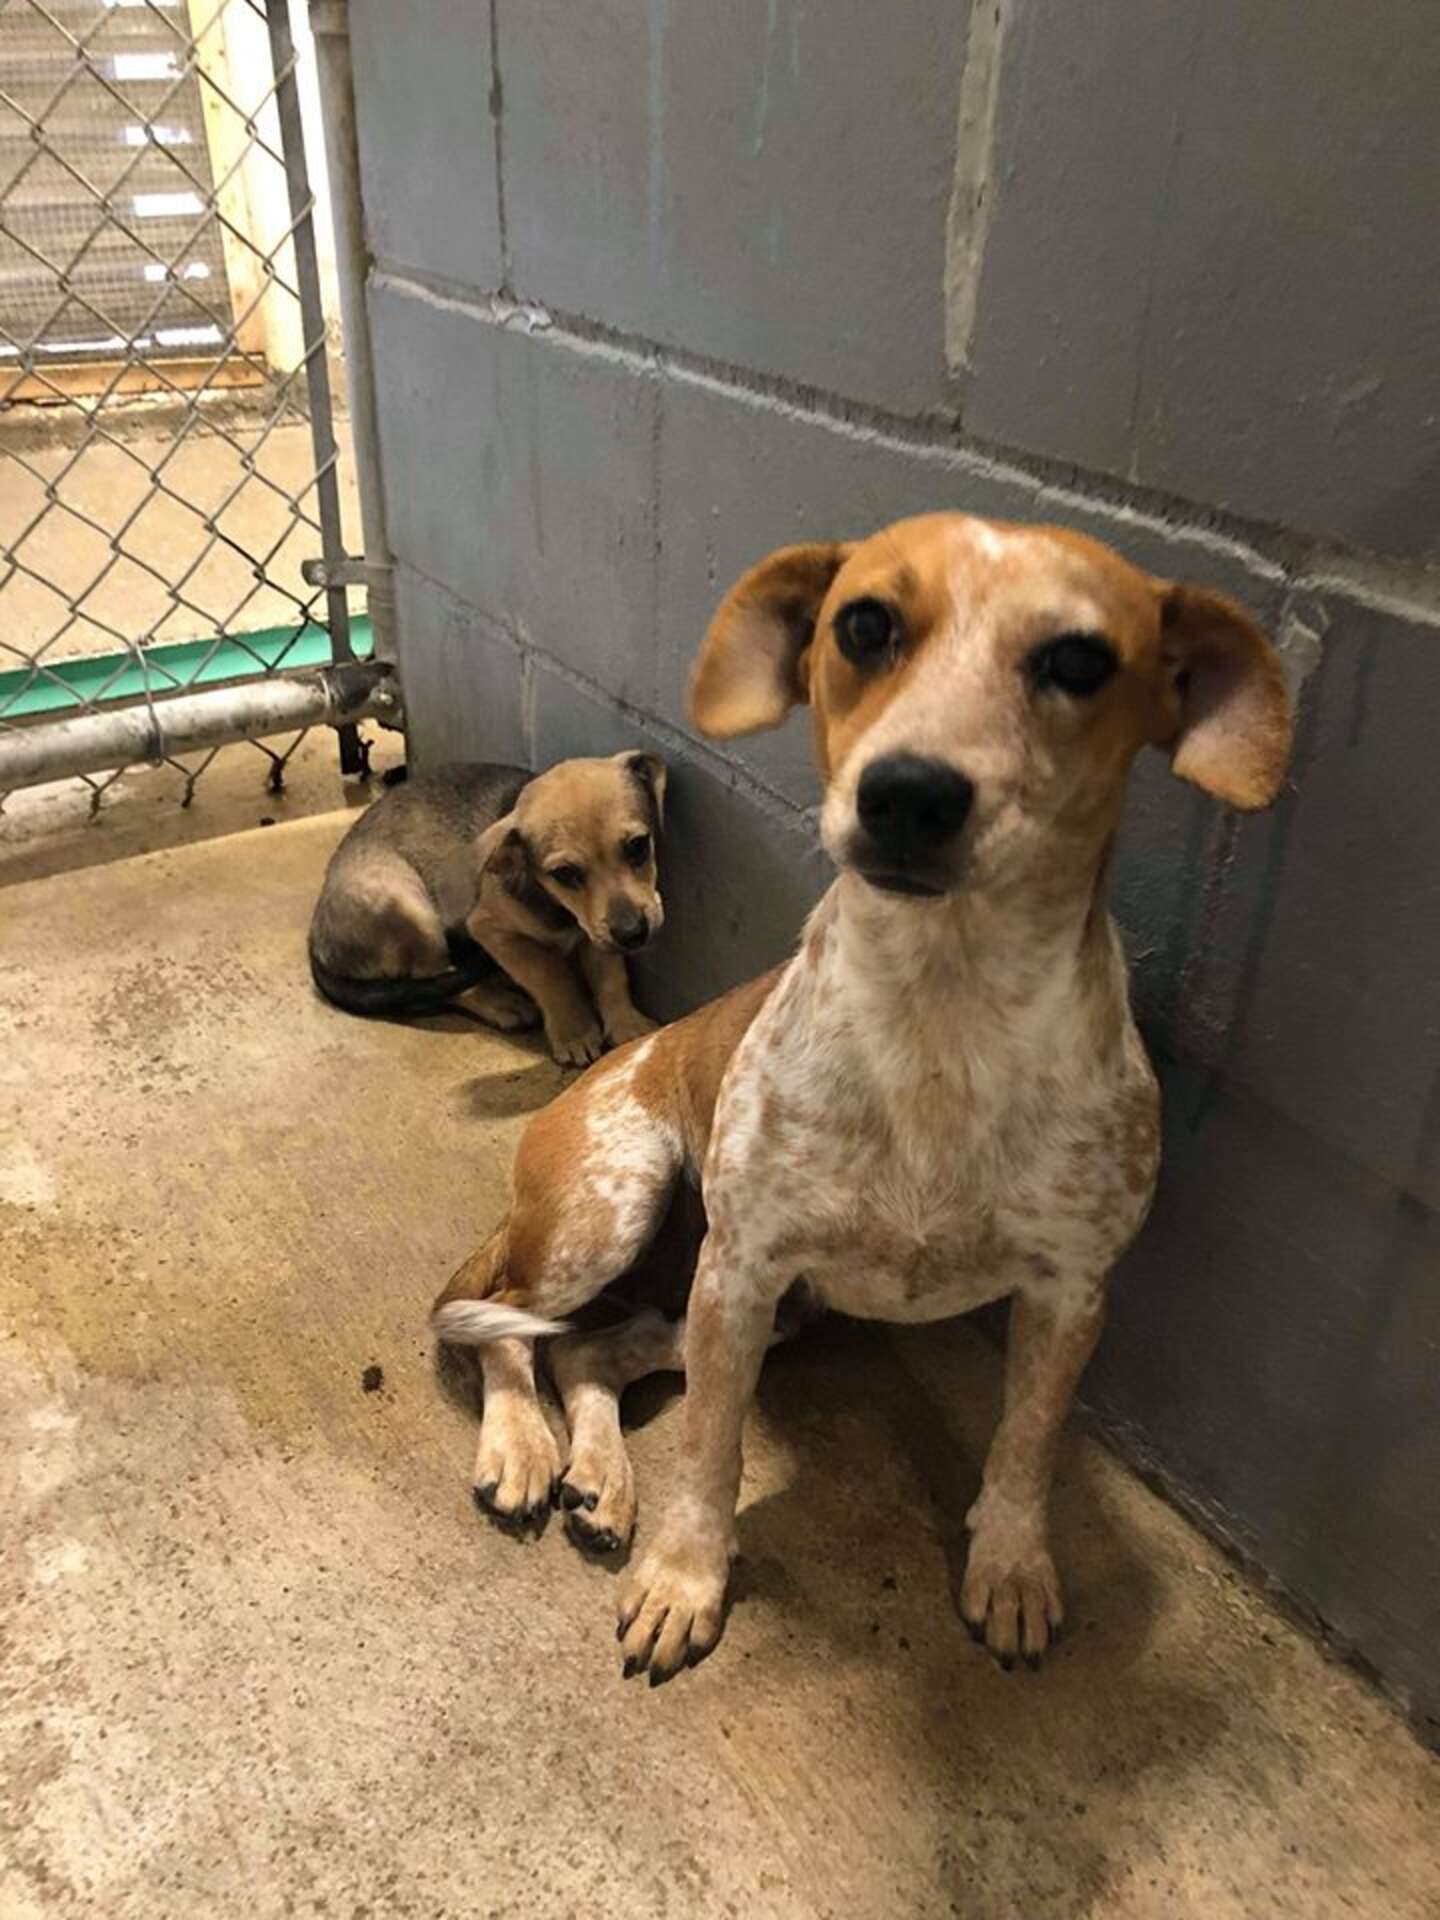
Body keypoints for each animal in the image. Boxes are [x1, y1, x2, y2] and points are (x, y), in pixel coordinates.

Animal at [311, 748, 672, 1059]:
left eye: (638, 846)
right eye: (565, 874)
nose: (633, 933)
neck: (559, 908)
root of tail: (315, 937)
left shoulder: (598, 933)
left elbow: (611, 975)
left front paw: (626, 1024)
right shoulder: (492, 929)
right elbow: (550, 976)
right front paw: (575, 1032)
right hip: (408, 907)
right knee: (435, 982)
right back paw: (500, 1003)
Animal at [432, 506, 1297, 1681]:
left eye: (1079, 660)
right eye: (864, 625)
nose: (910, 791)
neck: (943, 1013)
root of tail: (607, 1064)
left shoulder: (1070, 1295)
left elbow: (1025, 1448)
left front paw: (1012, 1568)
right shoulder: (739, 1275)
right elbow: (711, 1454)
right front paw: (686, 1579)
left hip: (746, 1305)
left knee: (586, 1349)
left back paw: (602, 1480)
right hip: (620, 1212)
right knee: (500, 1328)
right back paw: (524, 1450)